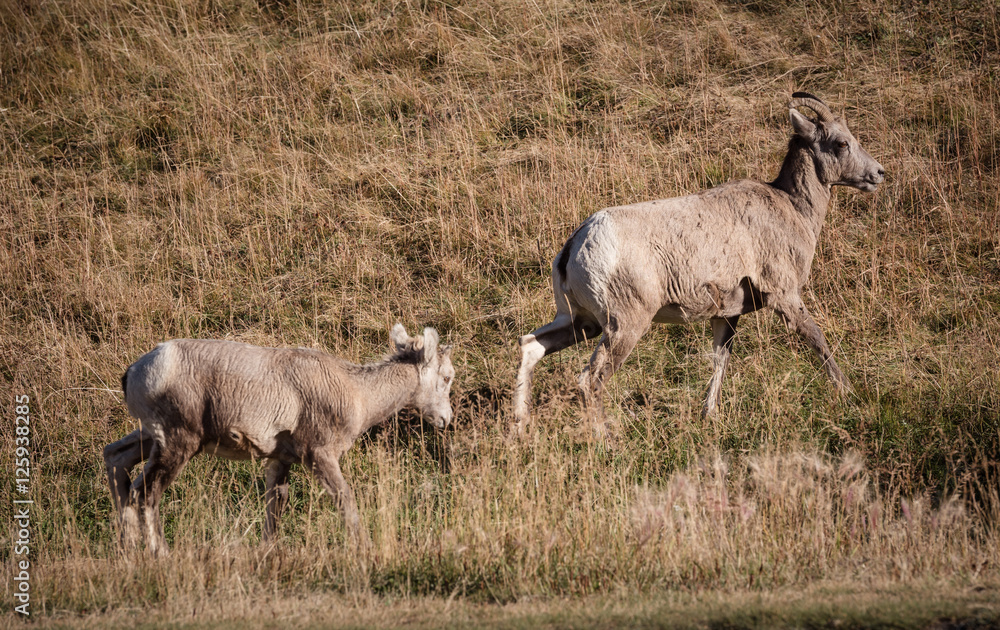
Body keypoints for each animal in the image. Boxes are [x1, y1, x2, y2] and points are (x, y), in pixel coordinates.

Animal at [104, 324, 454, 556]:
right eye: (447, 377)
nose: (446, 420)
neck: (358, 394)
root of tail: (135, 371)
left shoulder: (280, 460)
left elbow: (275, 506)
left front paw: (268, 553)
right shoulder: (320, 455)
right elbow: (346, 500)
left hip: (150, 438)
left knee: (116, 459)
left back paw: (128, 550)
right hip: (177, 443)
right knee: (145, 493)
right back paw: (160, 554)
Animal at [512, 92, 885, 433]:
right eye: (841, 142)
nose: (878, 173)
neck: (791, 208)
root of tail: (577, 245)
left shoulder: (727, 314)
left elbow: (720, 360)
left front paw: (710, 415)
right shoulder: (785, 297)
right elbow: (817, 340)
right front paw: (847, 392)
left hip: (581, 322)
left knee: (531, 346)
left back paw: (519, 426)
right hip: (623, 326)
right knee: (590, 379)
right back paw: (606, 437)